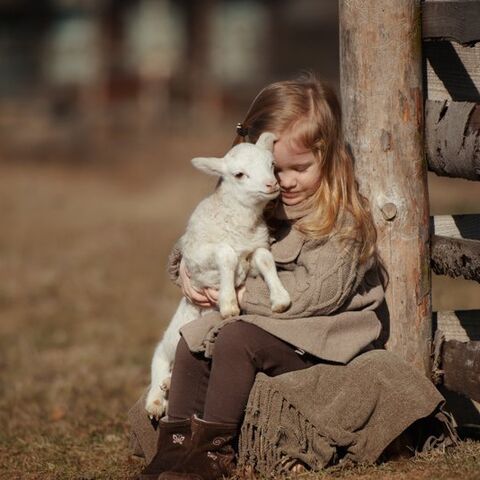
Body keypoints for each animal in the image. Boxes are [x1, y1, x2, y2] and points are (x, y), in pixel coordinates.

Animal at [144, 133, 290, 418]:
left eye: (272, 164)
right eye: (239, 174)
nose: (272, 185)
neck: (240, 224)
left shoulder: (255, 248)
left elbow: (265, 259)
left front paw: (280, 299)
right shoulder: (197, 258)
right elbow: (226, 254)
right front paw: (228, 304)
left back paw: (168, 386)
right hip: (171, 339)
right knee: (159, 359)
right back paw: (155, 400)